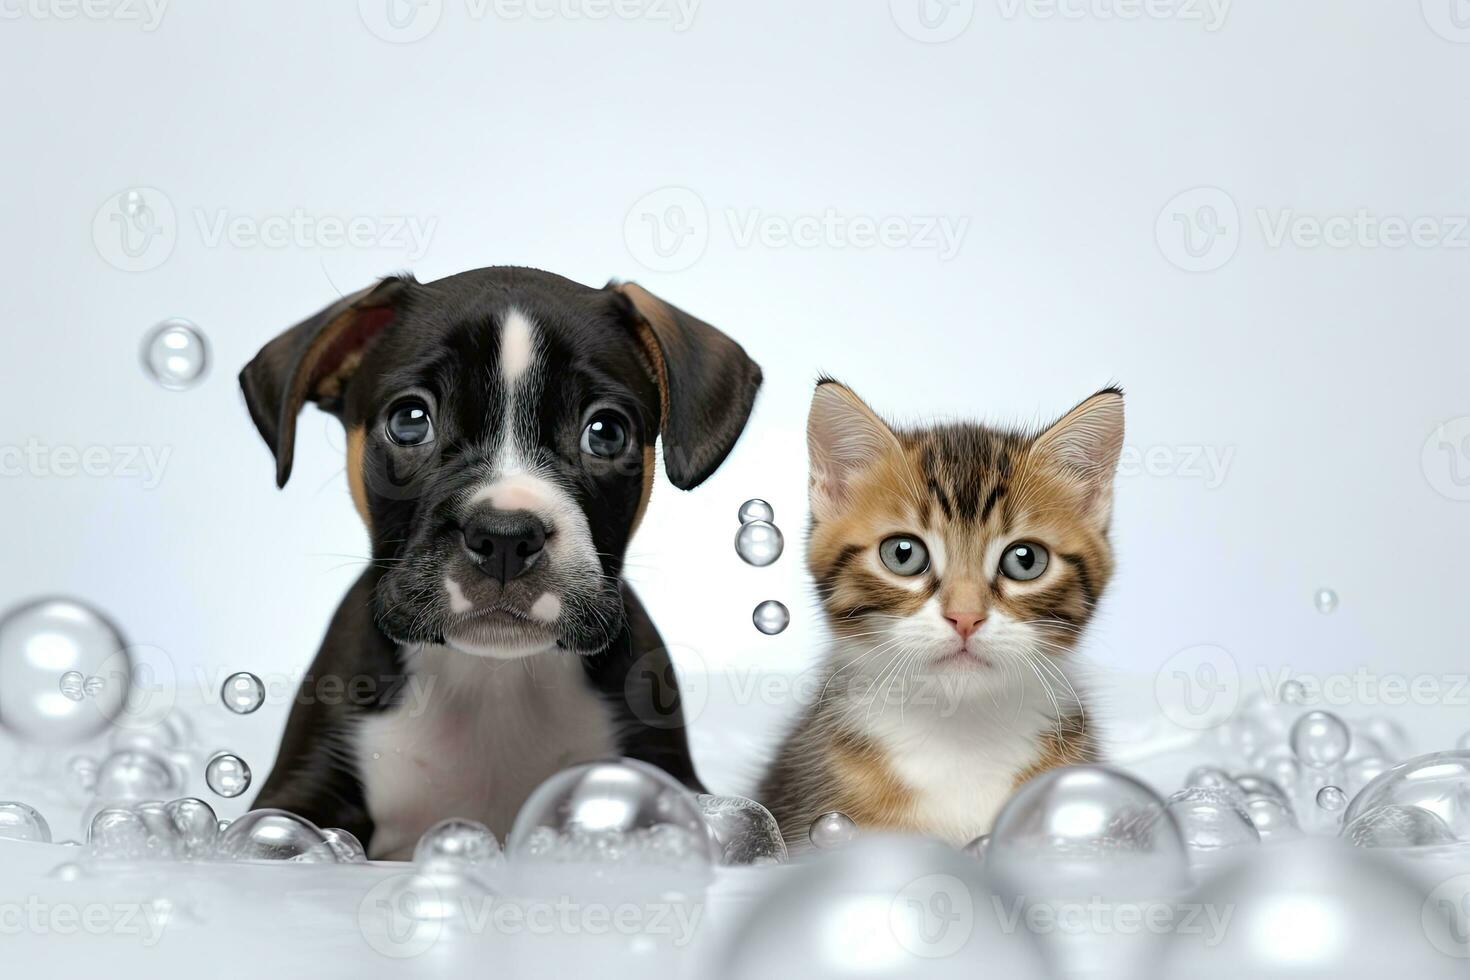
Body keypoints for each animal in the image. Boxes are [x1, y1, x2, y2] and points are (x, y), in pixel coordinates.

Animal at [235, 268, 764, 858]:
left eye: (605, 432)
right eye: (409, 421)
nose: (505, 536)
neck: (492, 679)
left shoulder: (669, 779)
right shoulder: (294, 795)